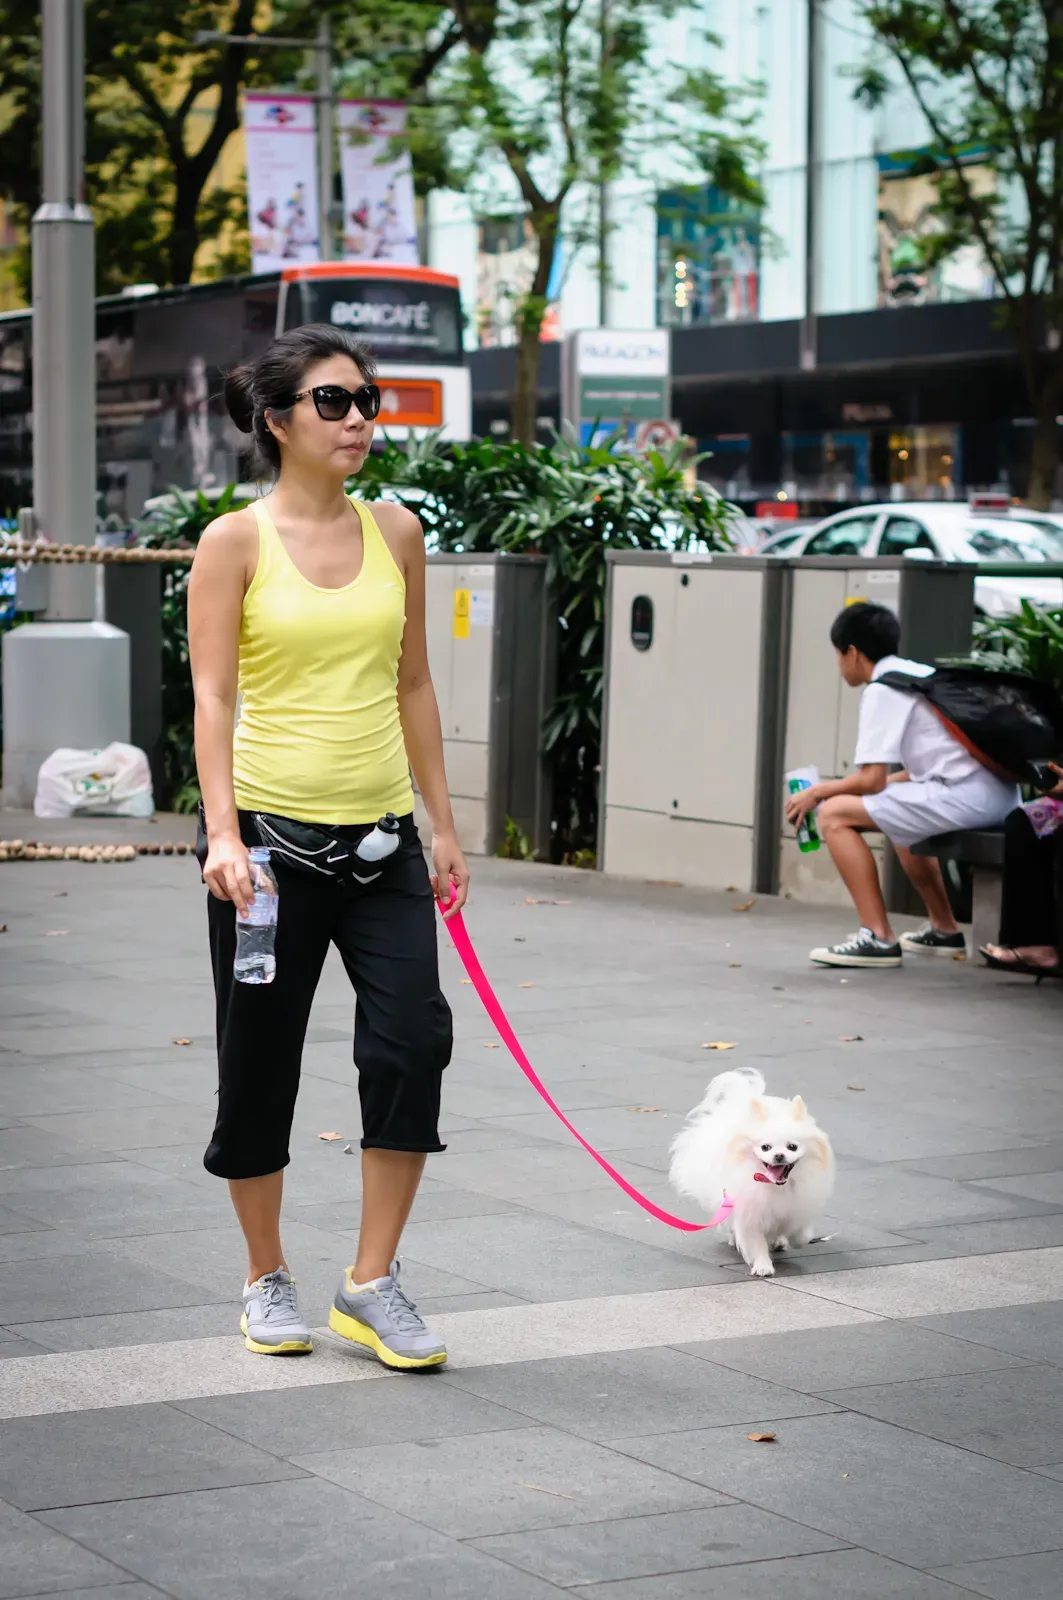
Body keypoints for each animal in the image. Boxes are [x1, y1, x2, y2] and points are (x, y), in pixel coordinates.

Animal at [669, 1068, 832, 1280]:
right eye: (765, 1147)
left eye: (792, 1147)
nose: (779, 1155)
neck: (777, 1186)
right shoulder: (751, 1214)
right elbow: (756, 1243)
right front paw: (763, 1266)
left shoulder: (798, 1207)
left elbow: (801, 1234)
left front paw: (793, 1240)